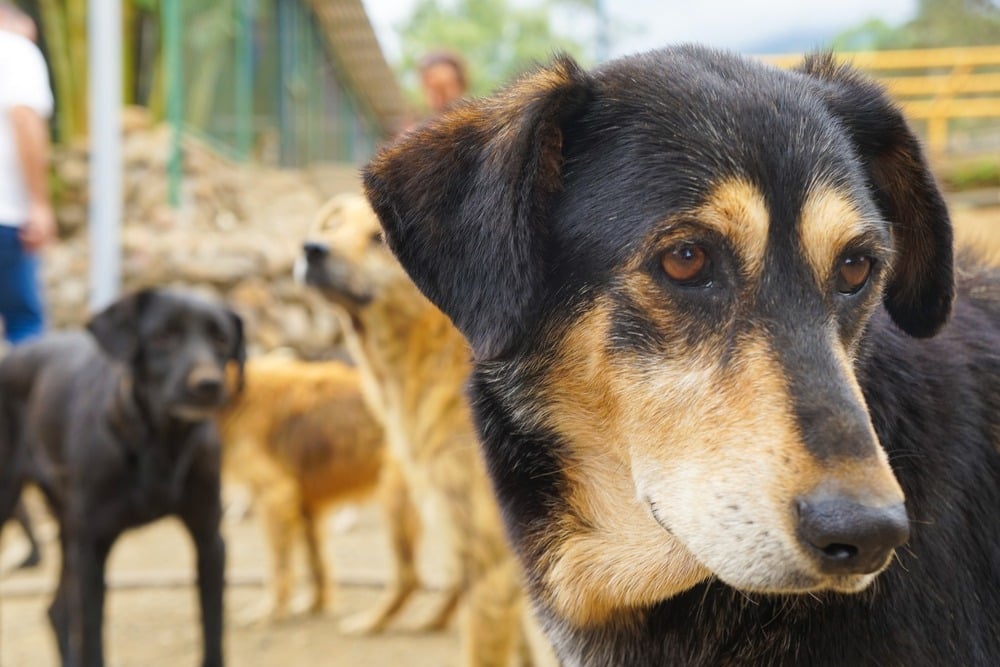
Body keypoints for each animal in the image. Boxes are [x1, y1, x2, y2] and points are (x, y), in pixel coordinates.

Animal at [0, 290, 244, 667]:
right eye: (162, 336)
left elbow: (213, 634)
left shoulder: (209, 540)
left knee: (57, 611)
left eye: (221, 339)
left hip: (67, 530)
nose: (207, 385)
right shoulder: (92, 549)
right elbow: (92, 639)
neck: (159, 443)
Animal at [217, 354, 420, 632]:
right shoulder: (306, 505)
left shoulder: (275, 497)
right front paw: (315, 605)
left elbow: (279, 567)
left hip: (394, 501)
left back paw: (370, 623)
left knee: (410, 578)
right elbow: (317, 564)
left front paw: (270, 611)